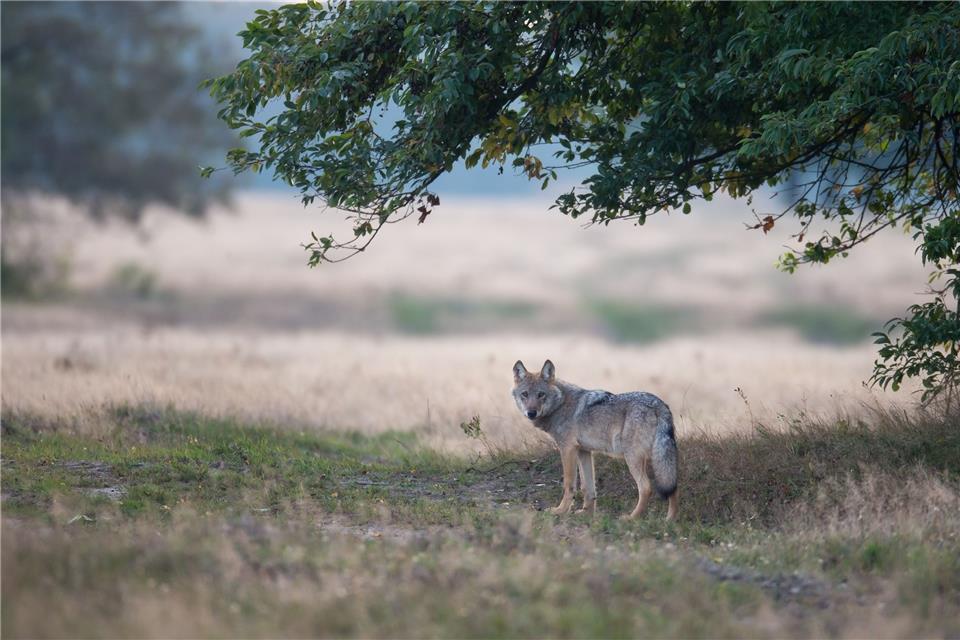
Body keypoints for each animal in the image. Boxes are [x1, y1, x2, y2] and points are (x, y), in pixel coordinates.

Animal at [512, 359, 679, 521]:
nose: (531, 413)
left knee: (646, 488)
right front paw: (586, 513)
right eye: (525, 394)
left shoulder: (567, 449)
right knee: (672, 485)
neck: (560, 404)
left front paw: (560, 511)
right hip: (661, 458)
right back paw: (670, 520)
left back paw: (632, 517)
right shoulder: (584, 451)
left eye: (541, 394)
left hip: (633, 458)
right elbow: (588, 487)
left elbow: (569, 484)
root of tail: (659, 404)